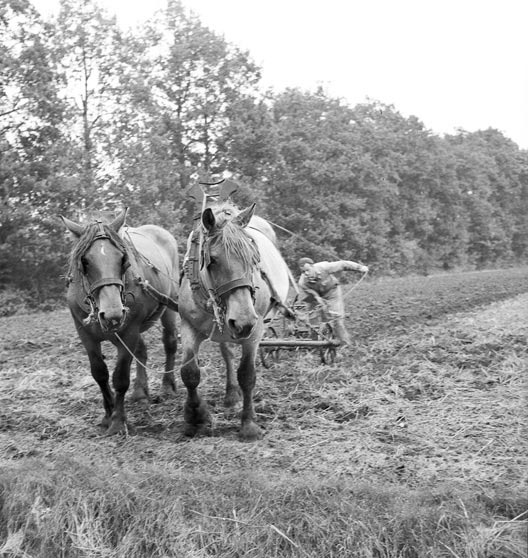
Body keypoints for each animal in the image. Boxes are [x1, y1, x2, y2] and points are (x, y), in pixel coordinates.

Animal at [62, 208, 179, 436]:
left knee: (170, 343)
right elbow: (99, 373)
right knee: (141, 352)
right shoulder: (84, 332)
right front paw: (107, 416)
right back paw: (140, 393)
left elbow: (120, 377)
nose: (112, 314)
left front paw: (118, 422)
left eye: (123, 259)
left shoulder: (129, 331)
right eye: (85, 262)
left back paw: (167, 386)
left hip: (169, 304)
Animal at [179, 201, 290, 442]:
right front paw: (195, 418)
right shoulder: (188, 325)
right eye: (213, 260)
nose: (243, 321)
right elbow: (190, 372)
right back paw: (231, 395)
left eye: (253, 258)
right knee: (227, 353)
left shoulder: (254, 332)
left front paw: (249, 424)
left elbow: (247, 375)